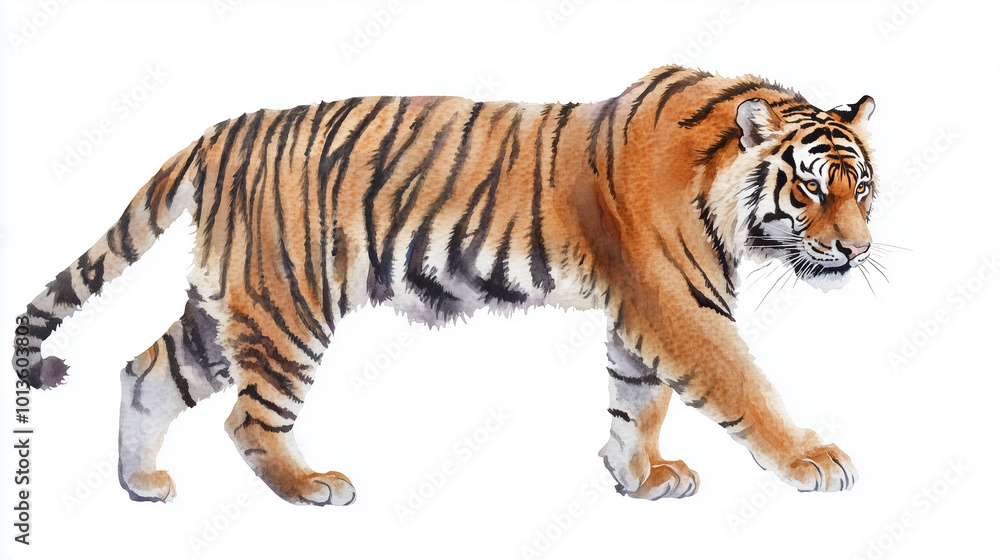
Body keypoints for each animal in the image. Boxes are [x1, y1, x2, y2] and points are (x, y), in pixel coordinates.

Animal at [13, 64, 877, 505]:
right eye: (809, 188)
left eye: (860, 187)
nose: (857, 250)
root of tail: (219, 132)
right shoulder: (676, 303)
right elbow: (742, 386)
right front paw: (813, 461)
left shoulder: (642, 309)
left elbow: (637, 401)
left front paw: (639, 477)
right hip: (286, 307)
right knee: (247, 420)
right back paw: (309, 485)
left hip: (227, 305)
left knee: (144, 371)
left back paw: (140, 483)